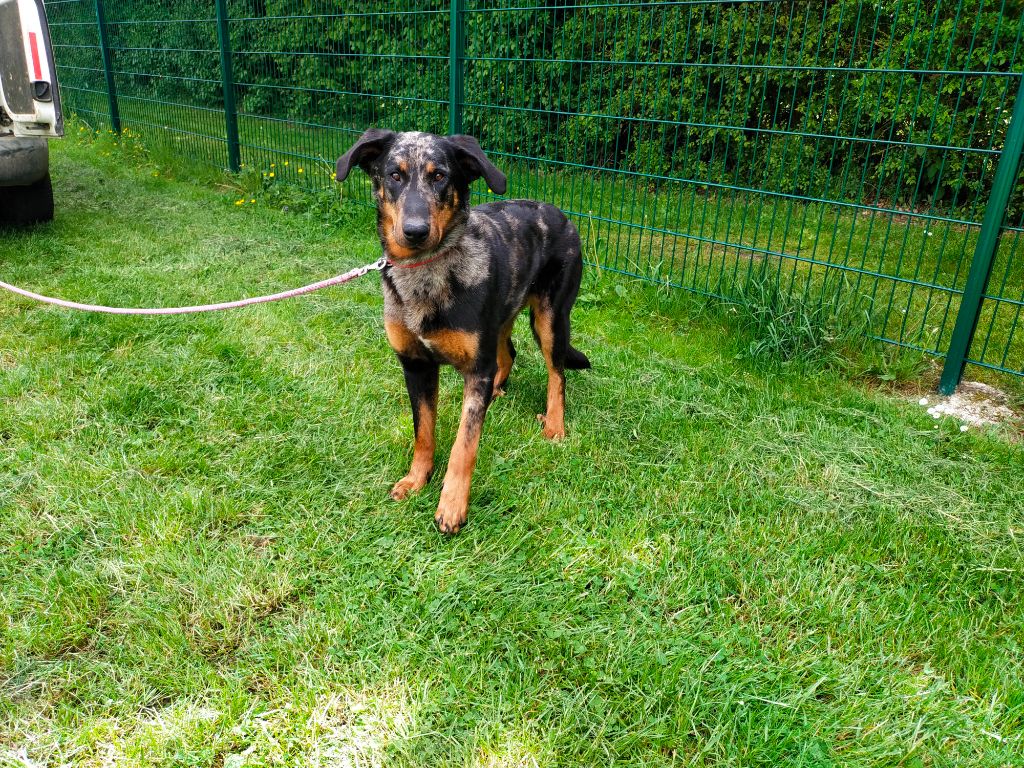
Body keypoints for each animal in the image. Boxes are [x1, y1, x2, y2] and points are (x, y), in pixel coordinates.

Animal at [335, 129, 593, 536]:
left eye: (440, 176)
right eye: (394, 175)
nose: (415, 231)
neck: (425, 273)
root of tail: (560, 213)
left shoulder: (475, 368)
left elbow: (464, 446)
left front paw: (452, 505)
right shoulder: (416, 365)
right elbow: (423, 432)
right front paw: (417, 479)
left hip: (550, 319)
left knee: (557, 373)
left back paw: (554, 424)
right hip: (502, 318)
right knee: (509, 352)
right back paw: (499, 390)